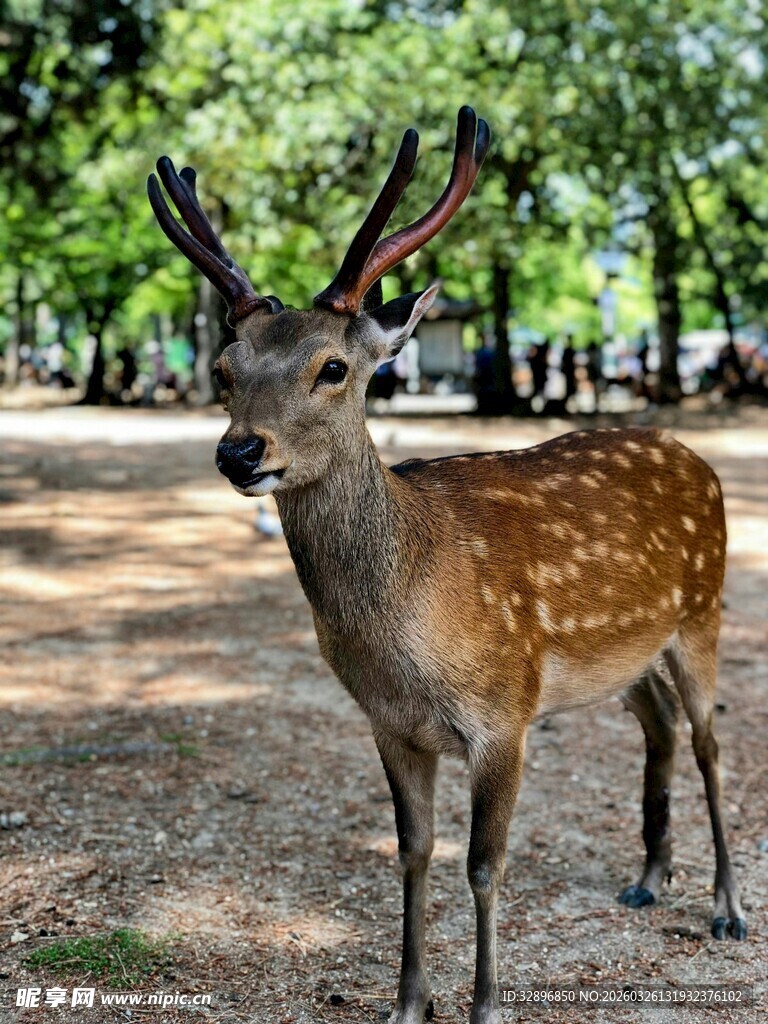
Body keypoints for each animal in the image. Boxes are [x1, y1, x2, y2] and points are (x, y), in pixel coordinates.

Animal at [148, 107, 747, 1024]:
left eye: (333, 367)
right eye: (223, 370)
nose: (240, 451)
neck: (409, 633)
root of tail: (696, 458)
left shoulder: (504, 710)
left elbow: (483, 864)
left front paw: (487, 1006)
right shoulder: (389, 723)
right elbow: (413, 852)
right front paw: (408, 1003)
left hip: (703, 610)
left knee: (715, 741)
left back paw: (725, 907)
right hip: (628, 655)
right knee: (660, 725)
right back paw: (648, 877)